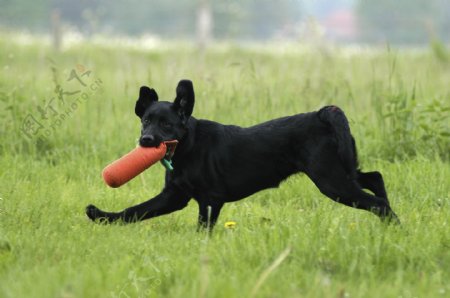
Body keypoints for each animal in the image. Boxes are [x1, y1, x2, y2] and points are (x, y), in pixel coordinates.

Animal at [86, 79, 400, 230]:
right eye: (146, 121)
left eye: (167, 124)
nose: (146, 140)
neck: (189, 147)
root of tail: (323, 115)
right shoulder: (174, 196)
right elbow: (135, 211)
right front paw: (100, 216)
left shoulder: (210, 200)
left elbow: (202, 229)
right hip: (342, 170)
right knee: (375, 178)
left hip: (331, 179)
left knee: (376, 201)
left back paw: (395, 227)